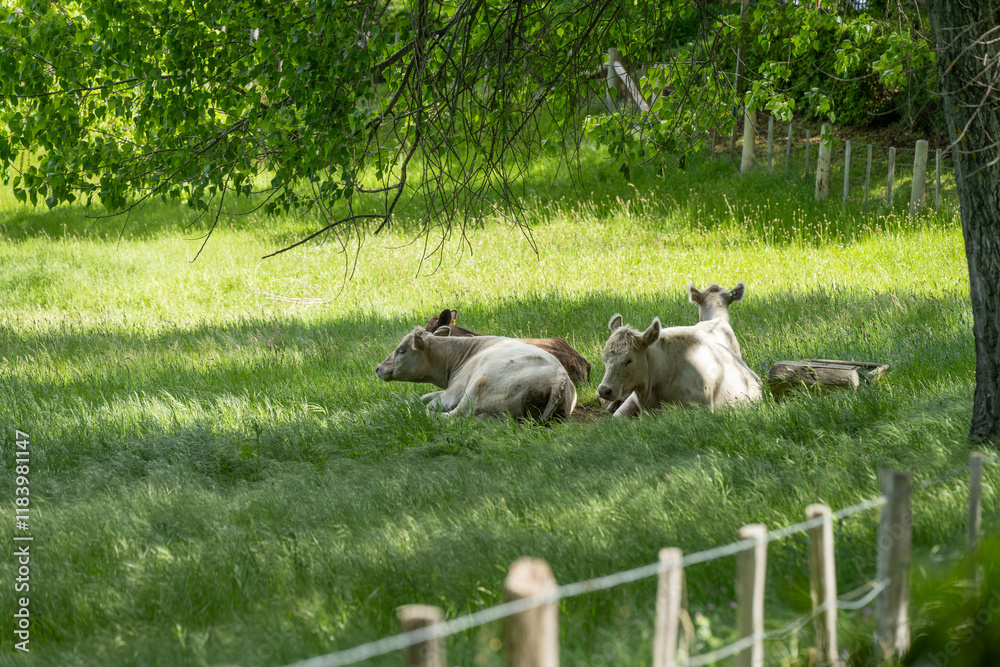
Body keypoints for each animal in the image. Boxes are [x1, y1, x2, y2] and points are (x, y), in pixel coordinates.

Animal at [376, 326, 577, 422]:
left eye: (401, 350)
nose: (378, 368)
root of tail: (559, 378)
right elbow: (424, 397)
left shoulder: (453, 392)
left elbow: (429, 404)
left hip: (474, 391)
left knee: (454, 416)